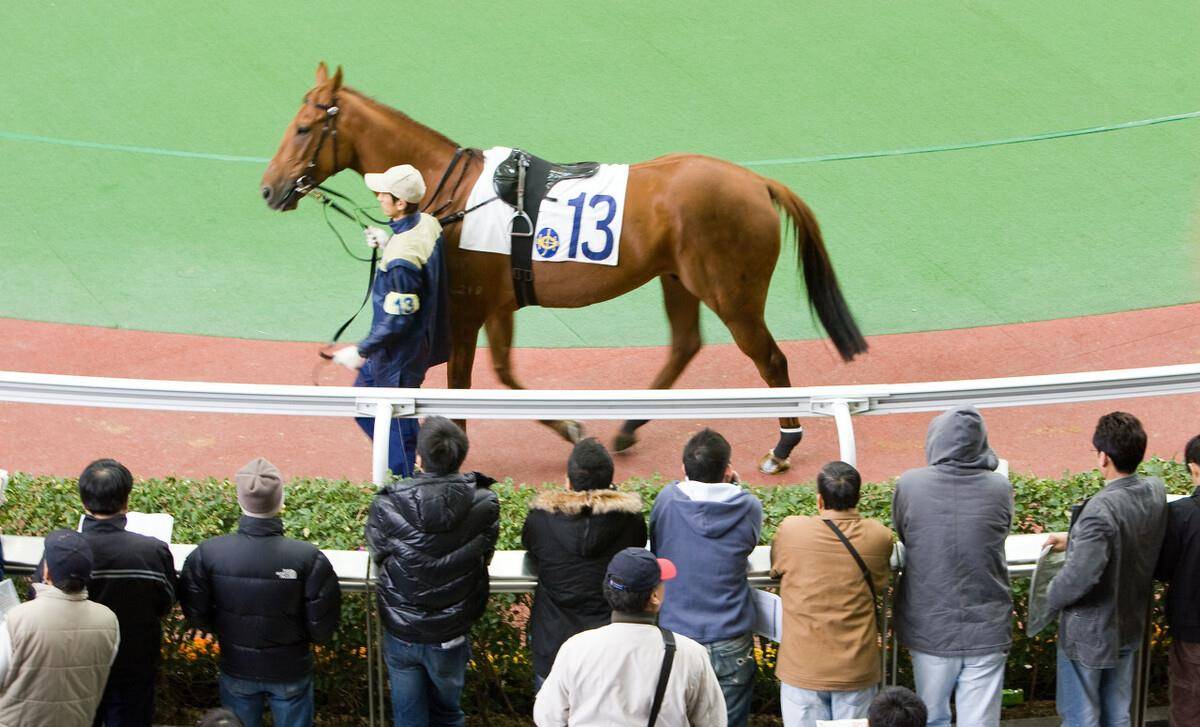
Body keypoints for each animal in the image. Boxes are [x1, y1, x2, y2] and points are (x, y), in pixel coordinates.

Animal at [260, 65, 864, 475]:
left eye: (304, 127)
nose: (269, 189)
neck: (455, 192)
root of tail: (758, 182)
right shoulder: (499, 304)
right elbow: (504, 373)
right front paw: (572, 426)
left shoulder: (468, 306)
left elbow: (463, 384)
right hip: (677, 280)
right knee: (685, 345)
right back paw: (627, 429)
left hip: (732, 293)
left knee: (770, 358)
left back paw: (782, 447)